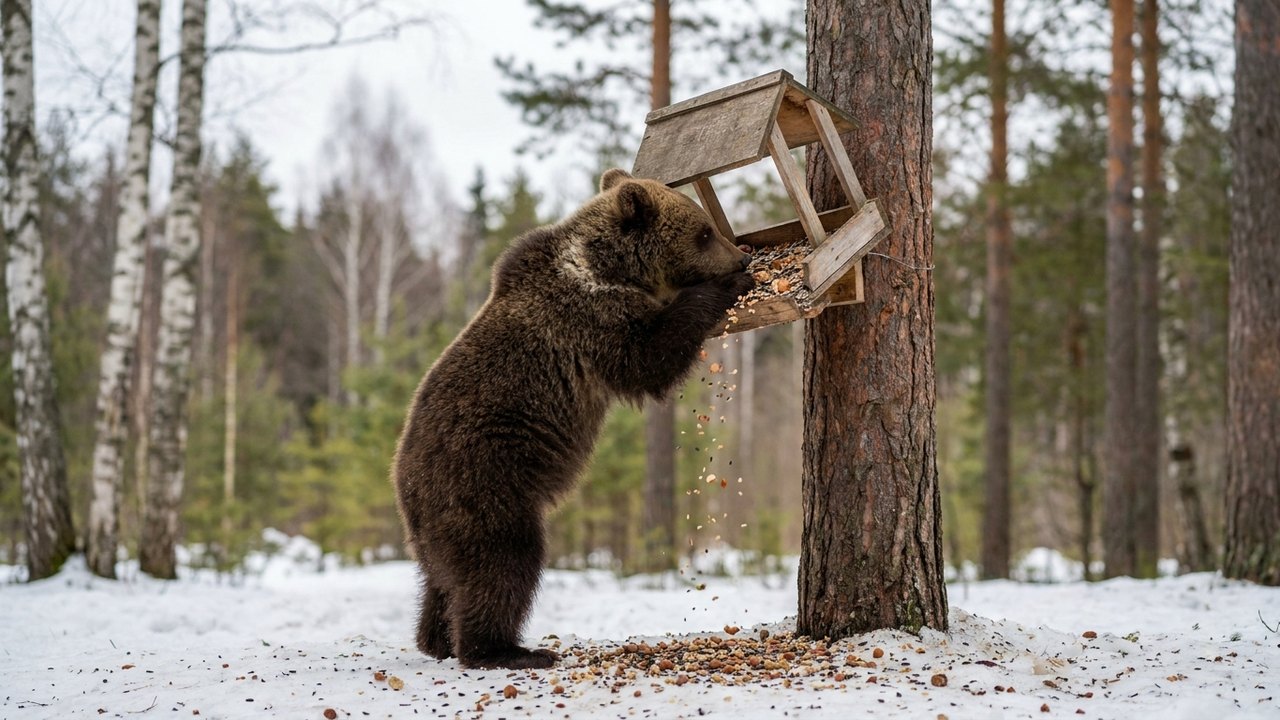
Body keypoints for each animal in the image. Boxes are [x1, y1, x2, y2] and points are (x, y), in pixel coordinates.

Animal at [393, 168, 755, 670]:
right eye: (703, 232)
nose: (741, 257)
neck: (609, 267)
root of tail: (405, 486)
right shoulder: (591, 320)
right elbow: (647, 359)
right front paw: (720, 291)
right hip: (485, 481)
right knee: (505, 561)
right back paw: (506, 650)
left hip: (439, 521)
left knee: (442, 579)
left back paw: (436, 640)